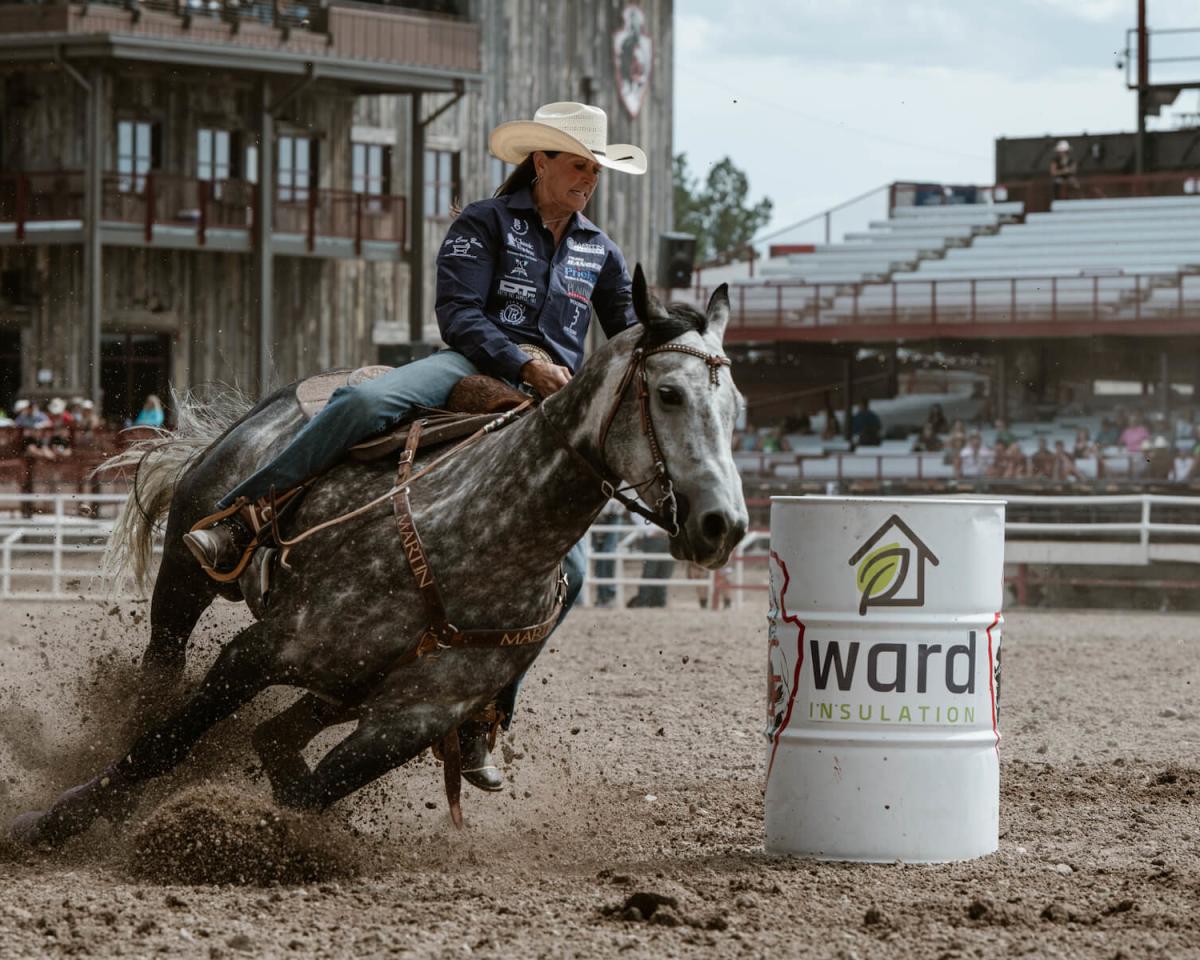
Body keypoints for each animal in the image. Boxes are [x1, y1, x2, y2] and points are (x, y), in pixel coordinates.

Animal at [9, 270, 744, 849]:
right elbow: (163, 746)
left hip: (345, 684)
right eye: (669, 393)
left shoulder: (409, 720)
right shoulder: (261, 649)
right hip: (188, 572)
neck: (477, 540)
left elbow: (307, 796)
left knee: (275, 735)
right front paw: (50, 824)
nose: (725, 524)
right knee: (164, 667)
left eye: (735, 406)